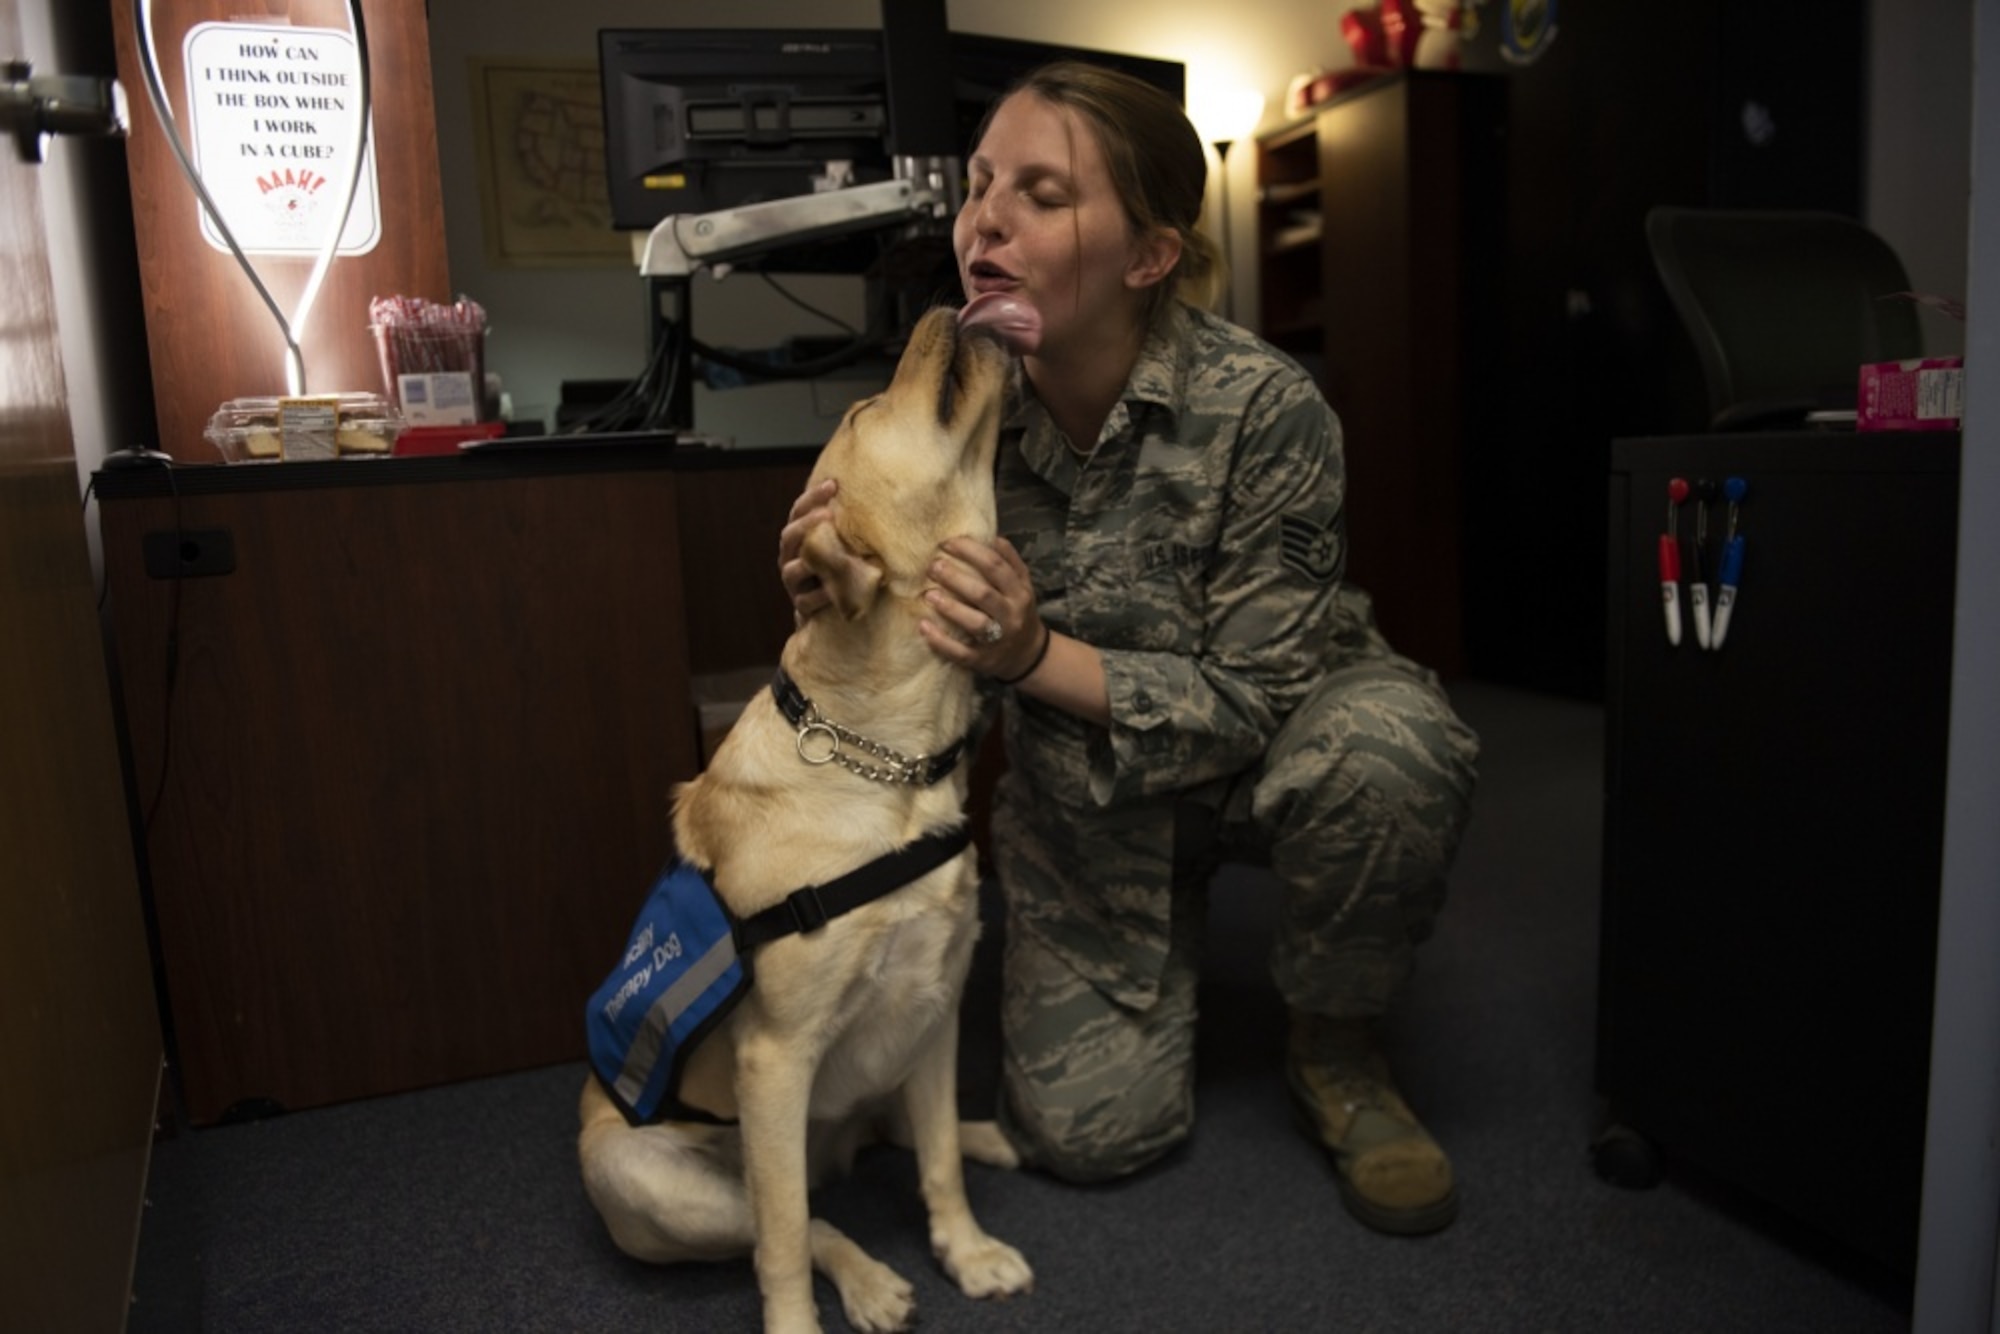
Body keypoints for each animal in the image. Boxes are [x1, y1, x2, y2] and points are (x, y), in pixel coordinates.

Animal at [580, 306, 1032, 1334]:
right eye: (864, 410)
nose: (945, 306)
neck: (892, 765)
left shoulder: (935, 1002)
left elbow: (937, 1162)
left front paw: (967, 1249)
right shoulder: (776, 1060)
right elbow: (785, 1237)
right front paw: (801, 1320)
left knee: (902, 1134)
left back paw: (984, 1136)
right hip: (646, 1177)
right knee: (797, 1218)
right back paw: (867, 1281)